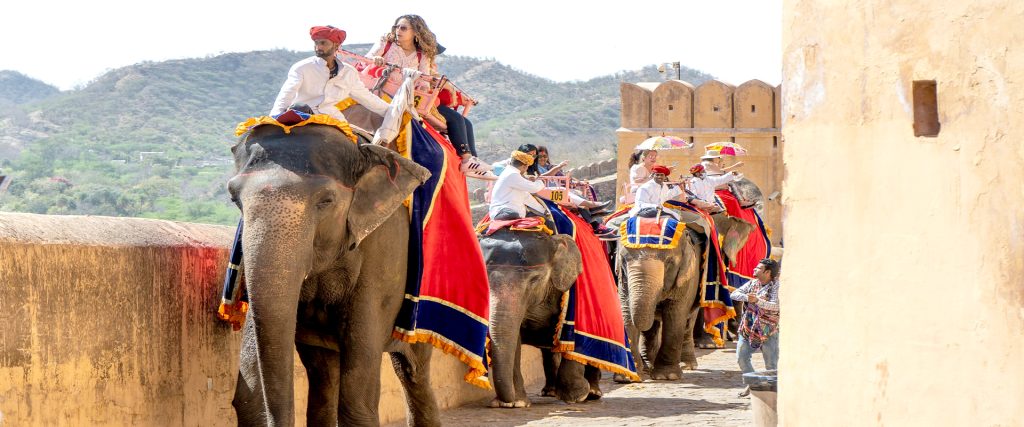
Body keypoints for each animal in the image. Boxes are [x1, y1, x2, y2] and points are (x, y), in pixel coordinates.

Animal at [227, 123, 440, 426]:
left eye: (326, 201)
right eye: (234, 198)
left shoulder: (383, 246)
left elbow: (357, 396)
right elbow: (248, 395)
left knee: (413, 372)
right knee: (325, 379)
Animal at [478, 227, 598, 407]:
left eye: (535, 280)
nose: (502, 402)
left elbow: (575, 336)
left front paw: (576, 396)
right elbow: (515, 338)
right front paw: (518, 403)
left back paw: (593, 392)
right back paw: (550, 392)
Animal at [615, 212, 754, 381]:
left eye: (669, 262)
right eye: (623, 260)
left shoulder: (688, 275)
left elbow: (675, 314)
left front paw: (667, 376)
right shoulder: (623, 279)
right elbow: (626, 312)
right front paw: (627, 377)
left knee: (687, 320)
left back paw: (687, 365)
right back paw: (648, 367)